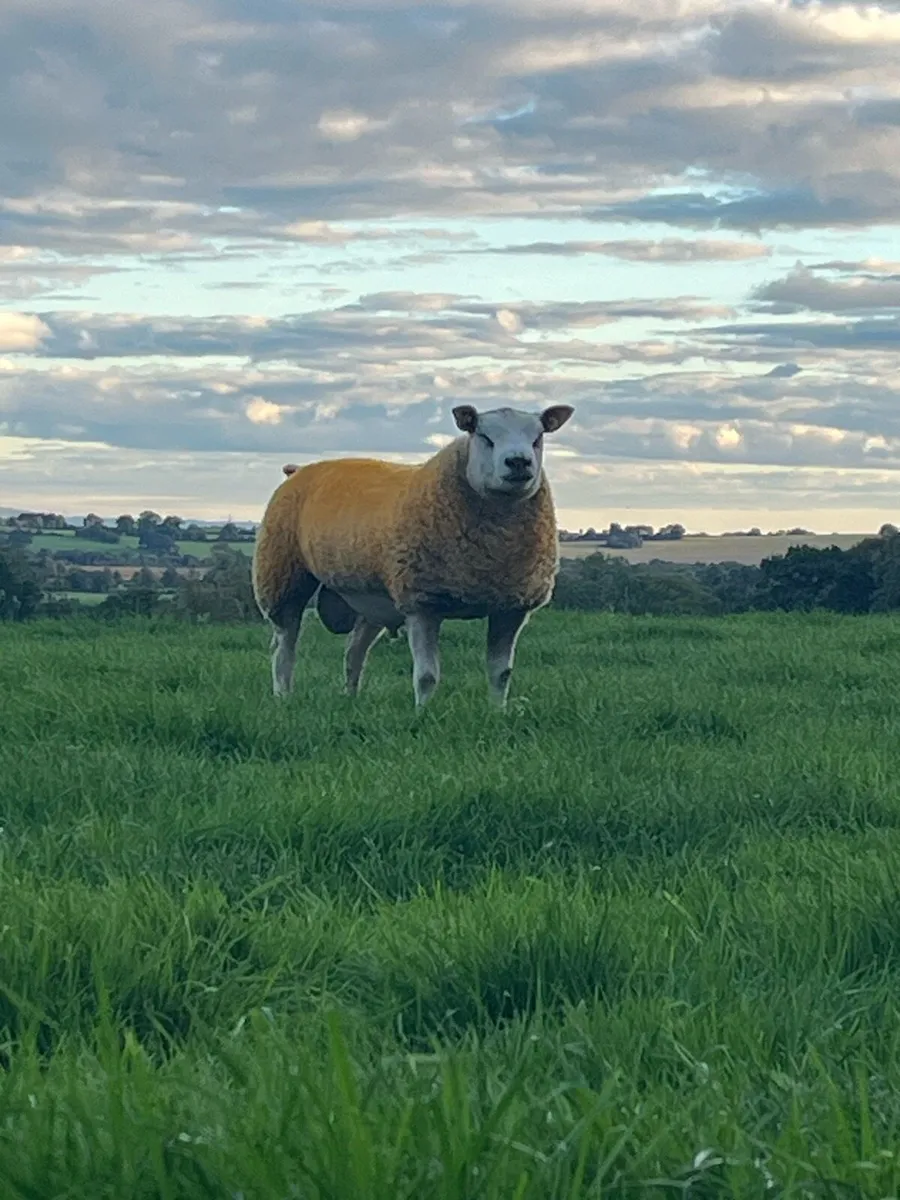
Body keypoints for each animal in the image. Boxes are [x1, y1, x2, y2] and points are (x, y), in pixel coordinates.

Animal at [252, 402, 574, 709]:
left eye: (538, 438)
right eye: (484, 436)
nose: (518, 462)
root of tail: (298, 469)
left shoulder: (510, 607)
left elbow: (501, 673)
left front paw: (498, 713)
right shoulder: (422, 603)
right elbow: (427, 675)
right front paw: (423, 715)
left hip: (372, 597)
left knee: (354, 649)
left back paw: (350, 697)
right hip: (282, 575)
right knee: (284, 646)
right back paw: (283, 696)